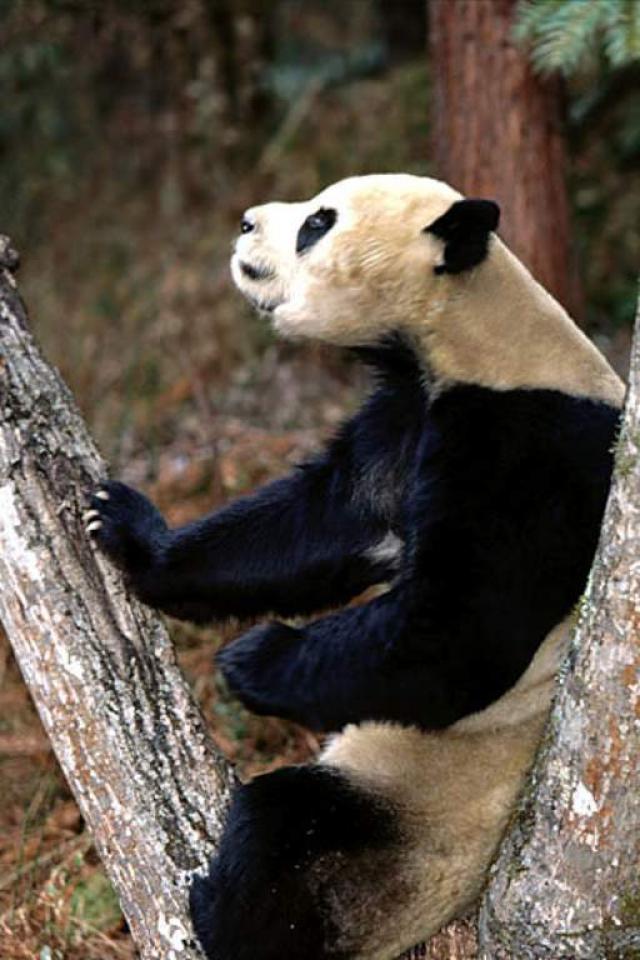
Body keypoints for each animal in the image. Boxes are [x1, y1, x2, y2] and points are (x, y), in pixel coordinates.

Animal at [86, 174, 624, 958]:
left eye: (318, 222)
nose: (245, 222)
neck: (472, 329)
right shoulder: (404, 416)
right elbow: (318, 525)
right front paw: (128, 531)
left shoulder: (526, 444)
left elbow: (460, 632)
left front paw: (252, 658)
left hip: (420, 807)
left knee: (282, 821)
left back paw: (219, 915)